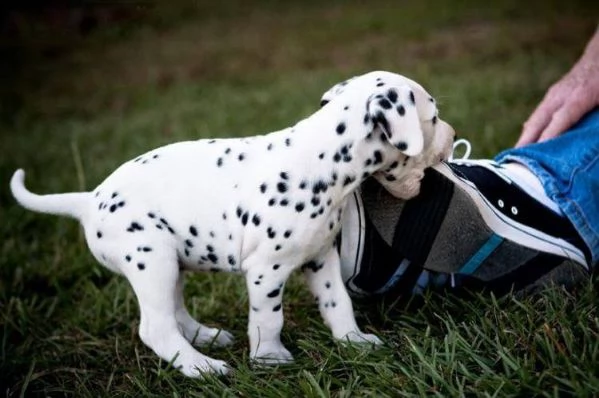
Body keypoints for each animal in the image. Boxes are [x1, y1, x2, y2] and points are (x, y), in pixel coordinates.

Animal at [10, 70, 454, 378]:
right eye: (434, 115)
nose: (452, 137)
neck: (320, 161)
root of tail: (90, 200)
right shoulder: (265, 270)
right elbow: (268, 318)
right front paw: (269, 358)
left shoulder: (320, 257)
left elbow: (337, 303)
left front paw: (353, 341)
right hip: (151, 261)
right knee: (156, 328)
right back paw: (201, 367)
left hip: (170, 264)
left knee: (175, 311)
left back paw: (205, 339)